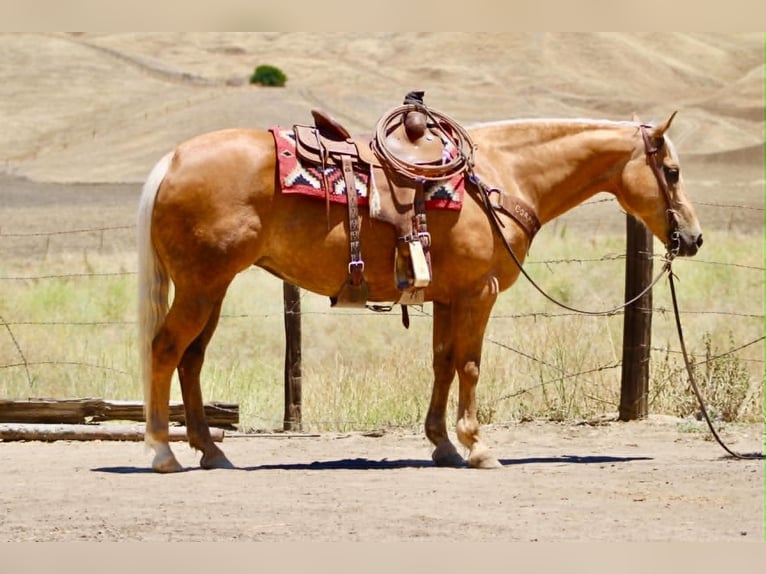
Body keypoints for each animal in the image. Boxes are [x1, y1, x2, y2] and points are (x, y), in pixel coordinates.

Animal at [137, 111, 703, 473]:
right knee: (165, 350)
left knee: (191, 359)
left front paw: (442, 445)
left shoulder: (449, 297)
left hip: (212, 289)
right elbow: (470, 365)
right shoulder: (479, 292)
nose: (693, 238)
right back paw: (163, 453)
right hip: (200, 287)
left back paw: (212, 453)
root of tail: (173, 160)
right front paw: (479, 448)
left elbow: (443, 363)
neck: (500, 176)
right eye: (672, 172)